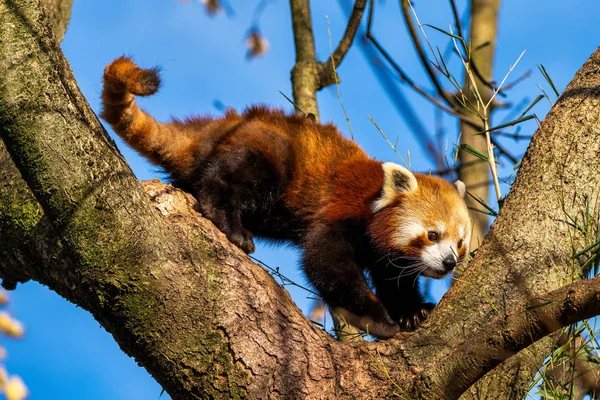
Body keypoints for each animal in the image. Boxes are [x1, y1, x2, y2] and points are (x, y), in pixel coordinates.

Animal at [101, 56, 472, 338]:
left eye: (460, 243)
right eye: (432, 235)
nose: (450, 263)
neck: (373, 207)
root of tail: (213, 128)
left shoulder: (386, 257)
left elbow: (395, 281)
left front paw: (413, 311)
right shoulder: (342, 211)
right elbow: (325, 262)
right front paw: (379, 317)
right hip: (267, 151)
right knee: (231, 179)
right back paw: (231, 225)